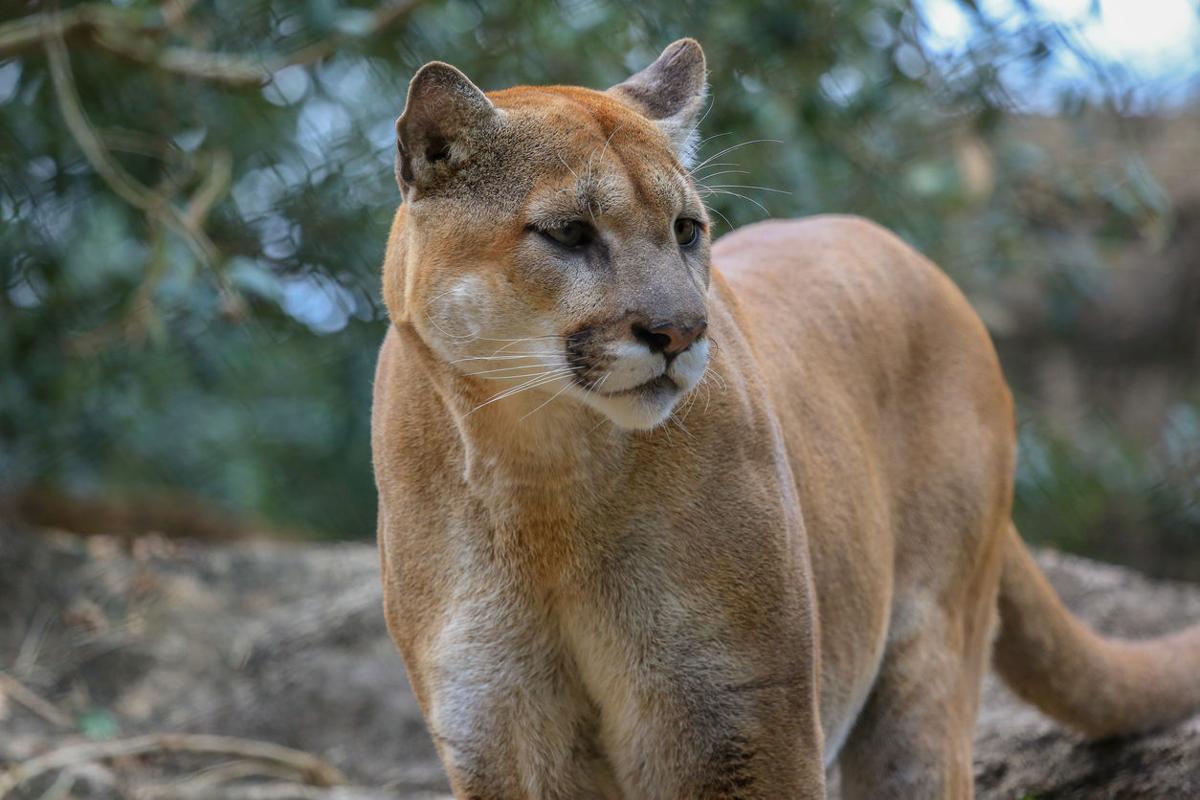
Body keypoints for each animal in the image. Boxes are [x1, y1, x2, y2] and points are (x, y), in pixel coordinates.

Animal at [371, 38, 1200, 799]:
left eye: (685, 229)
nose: (681, 331)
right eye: (571, 231)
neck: (541, 477)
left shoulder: (740, 715)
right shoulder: (500, 731)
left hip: (923, 679)